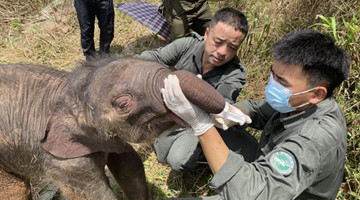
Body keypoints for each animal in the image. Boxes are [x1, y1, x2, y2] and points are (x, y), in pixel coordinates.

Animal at [0, 57, 225, 199]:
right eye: (123, 104)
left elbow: (130, 167)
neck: (66, 91)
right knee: (16, 191)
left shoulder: (108, 140)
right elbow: (97, 195)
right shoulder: (62, 163)